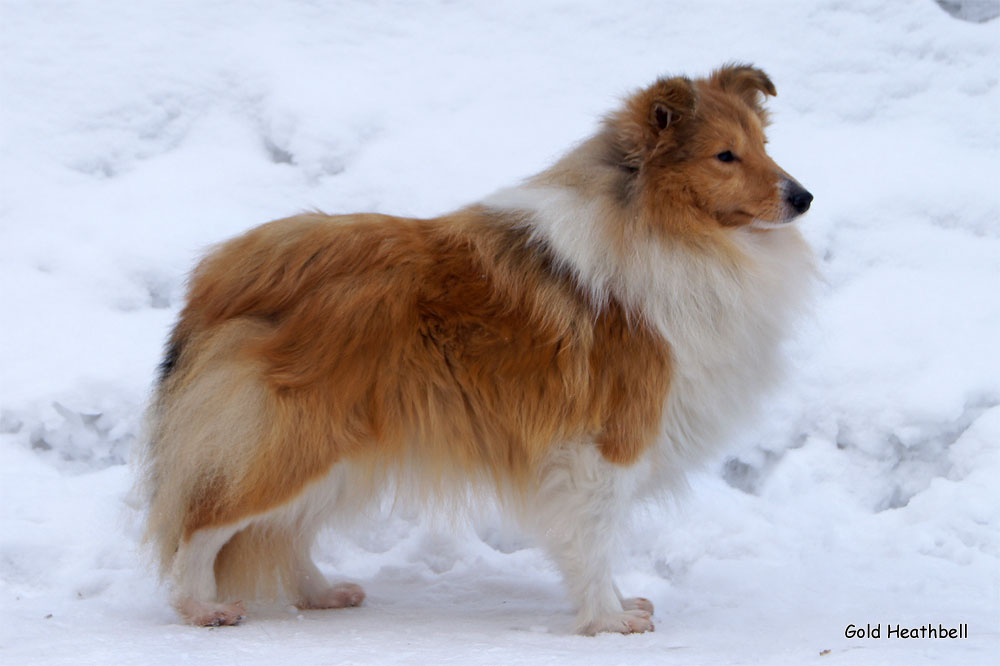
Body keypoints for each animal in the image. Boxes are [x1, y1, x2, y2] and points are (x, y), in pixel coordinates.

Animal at [139, 66, 812, 632]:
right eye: (725, 155)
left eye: (763, 143)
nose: (803, 197)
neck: (660, 228)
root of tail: (223, 272)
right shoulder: (603, 445)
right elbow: (595, 537)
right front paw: (609, 619)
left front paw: (618, 606)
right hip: (295, 436)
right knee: (205, 522)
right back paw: (201, 607)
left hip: (339, 444)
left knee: (284, 528)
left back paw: (321, 593)